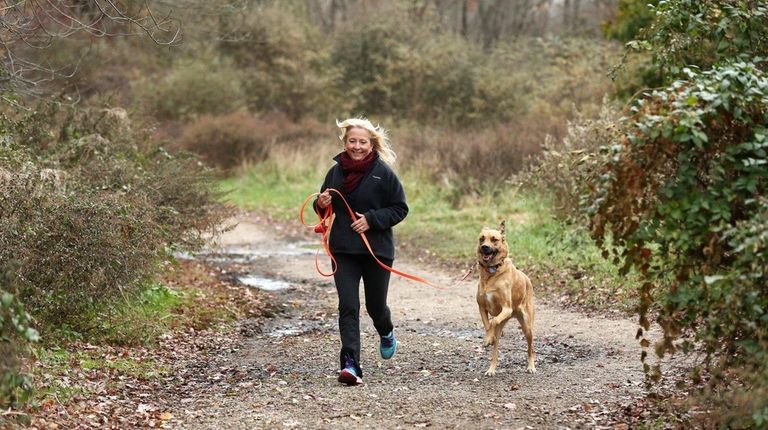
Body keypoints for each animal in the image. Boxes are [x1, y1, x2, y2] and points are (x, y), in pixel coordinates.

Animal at [474, 222, 536, 376]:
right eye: (481, 239)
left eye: (494, 239)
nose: (484, 247)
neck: (492, 272)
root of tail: (527, 279)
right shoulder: (481, 307)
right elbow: (487, 324)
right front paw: (488, 338)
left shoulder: (506, 309)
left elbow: (493, 321)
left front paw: (488, 338)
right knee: (495, 351)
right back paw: (491, 368)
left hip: (527, 328)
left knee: (530, 349)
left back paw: (531, 366)